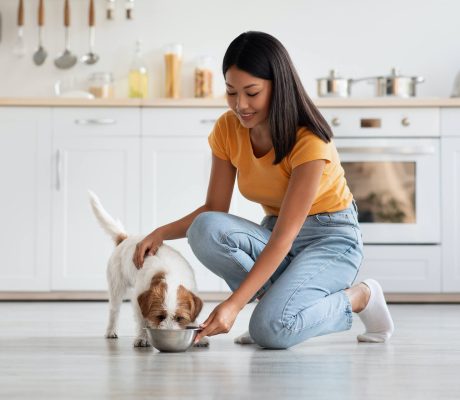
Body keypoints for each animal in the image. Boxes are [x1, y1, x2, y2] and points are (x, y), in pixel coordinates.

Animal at [88, 191, 207, 346]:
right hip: (116, 287)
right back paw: (111, 331)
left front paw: (200, 337)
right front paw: (142, 337)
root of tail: (125, 238)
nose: (169, 334)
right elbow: (141, 320)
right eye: (160, 316)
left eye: (179, 318)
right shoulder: (138, 301)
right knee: (114, 310)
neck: (171, 274)